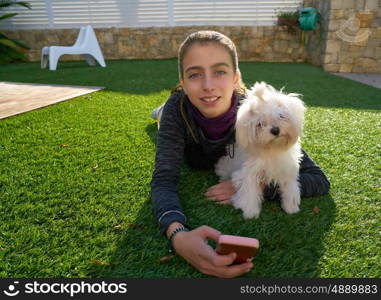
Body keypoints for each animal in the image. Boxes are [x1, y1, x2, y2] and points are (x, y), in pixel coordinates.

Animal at [215, 81, 304, 218]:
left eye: (281, 116)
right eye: (260, 124)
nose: (275, 130)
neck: (273, 149)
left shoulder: (287, 170)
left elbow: (290, 188)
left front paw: (291, 207)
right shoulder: (248, 174)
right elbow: (249, 192)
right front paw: (250, 212)